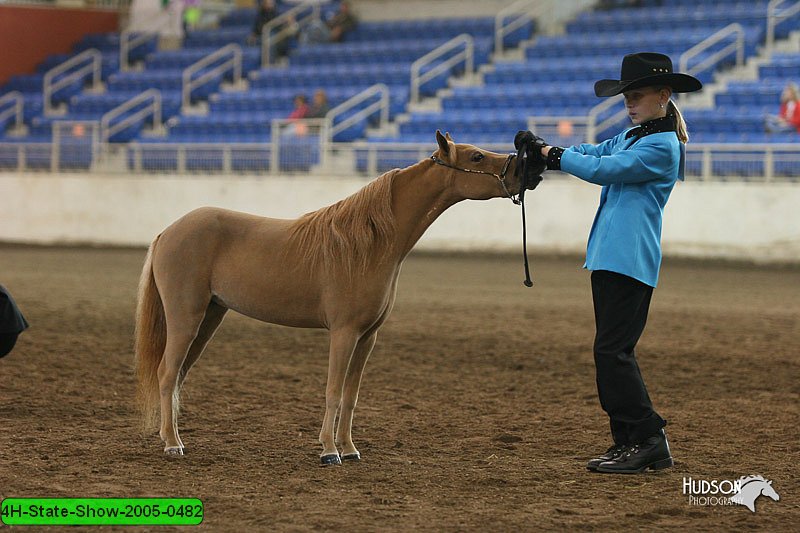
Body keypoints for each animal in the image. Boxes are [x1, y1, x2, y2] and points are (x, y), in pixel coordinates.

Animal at [134, 131, 544, 464]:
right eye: (476, 156)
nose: (525, 173)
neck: (371, 243)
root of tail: (169, 231)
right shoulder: (343, 333)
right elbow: (333, 390)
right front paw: (329, 451)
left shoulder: (367, 337)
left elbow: (351, 395)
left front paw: (349, 449)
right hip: (186, 317)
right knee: (167, 372)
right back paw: (172, 445)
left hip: (209, 317)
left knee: (178, 375)